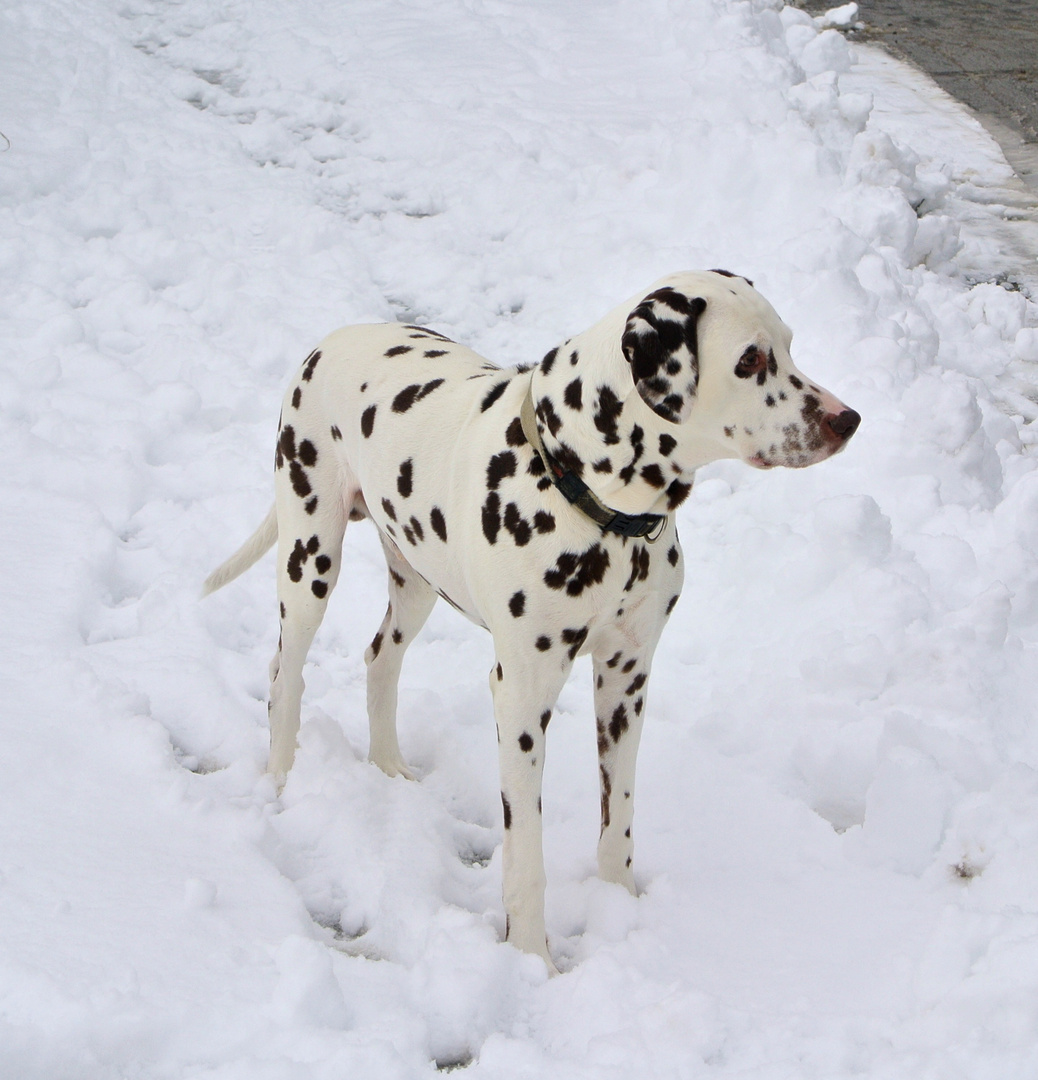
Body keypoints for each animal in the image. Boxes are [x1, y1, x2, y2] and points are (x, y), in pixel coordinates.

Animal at [203, 270, 859, 972]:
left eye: (788, 344)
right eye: (749, 360)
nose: (847, 420)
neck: (598, 503)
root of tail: (330, 340)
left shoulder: (625, 681)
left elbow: (619, 820)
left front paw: (619, 905)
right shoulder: (521, 696)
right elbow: (526, 858)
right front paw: (530, 958)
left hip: (417, 579)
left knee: (380, 658)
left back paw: (388, 765)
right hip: (309, 560)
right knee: (284, 674)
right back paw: (282, 781)